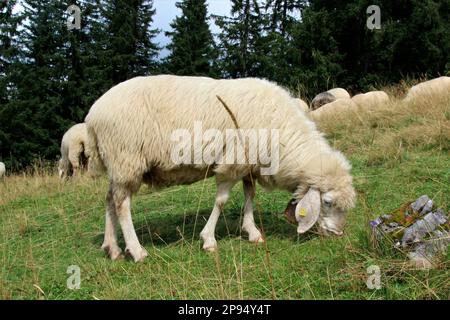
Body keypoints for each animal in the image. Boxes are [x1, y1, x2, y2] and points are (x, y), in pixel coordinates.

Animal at [86, 75, 356, 262]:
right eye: (328, 202)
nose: (338, 234)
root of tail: (92, 115)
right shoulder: (232, 162)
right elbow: (221, 201)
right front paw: (209, 240)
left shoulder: (248, 164)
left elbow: (250, 194)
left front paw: (252, 231)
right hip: (126, 159)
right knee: (122, 205)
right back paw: (136, 250)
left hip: (118, 166)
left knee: (109, 199)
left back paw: (112, 248)